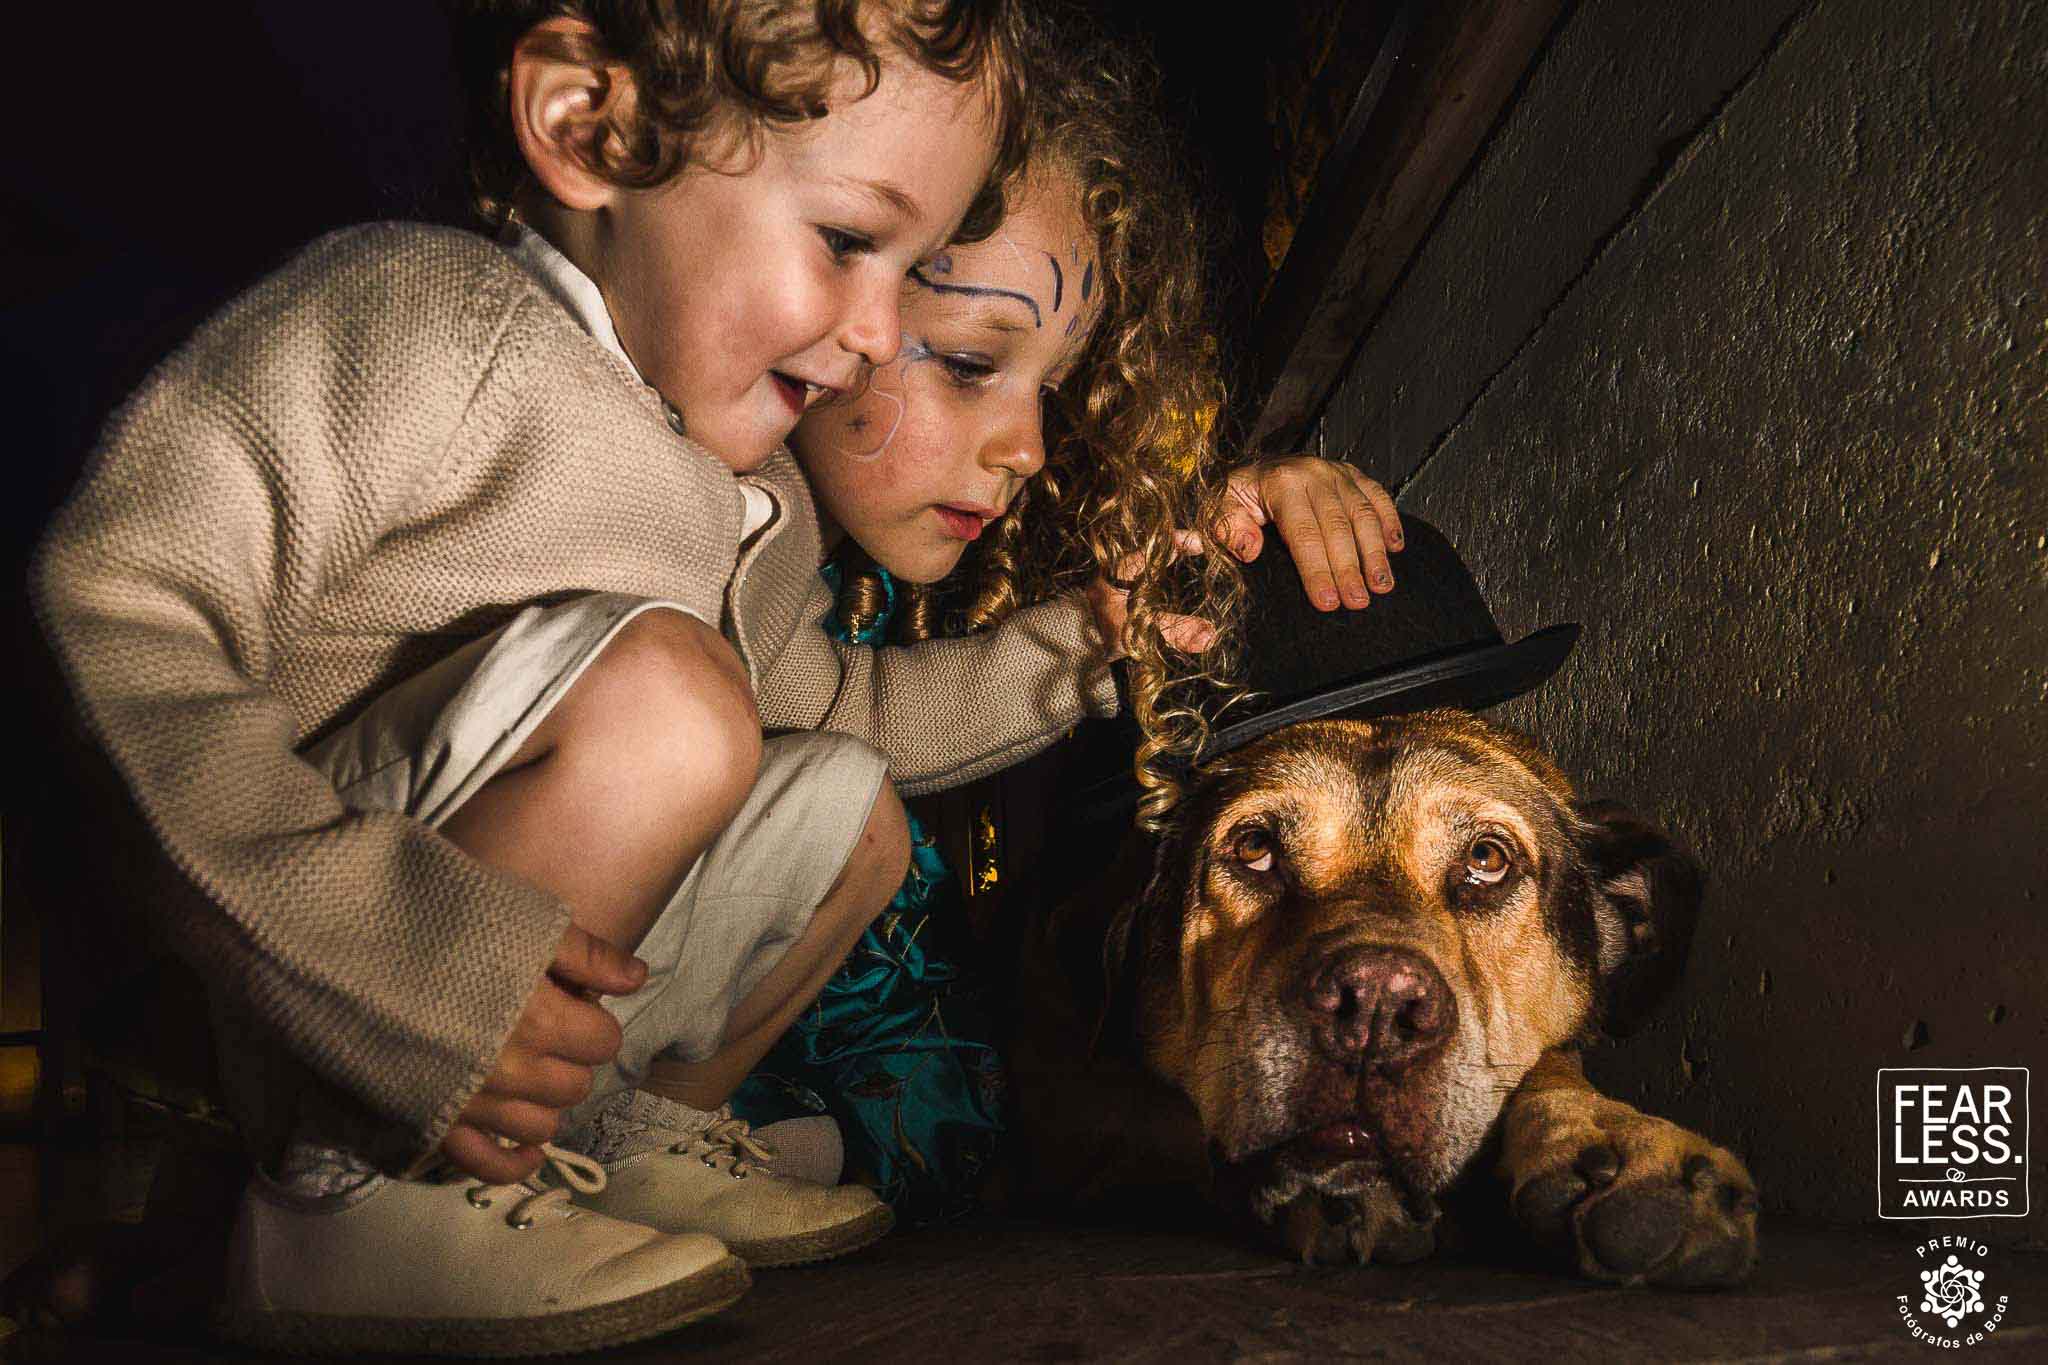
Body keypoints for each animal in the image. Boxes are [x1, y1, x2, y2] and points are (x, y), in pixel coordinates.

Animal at [999, 712, 1753, 1285]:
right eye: (1254, 847)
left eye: (1487, 859)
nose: (1376, 1007)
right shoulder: (1063, 1101)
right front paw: (1342, 1192)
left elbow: (1552, 1062)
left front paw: (1612, 1135)